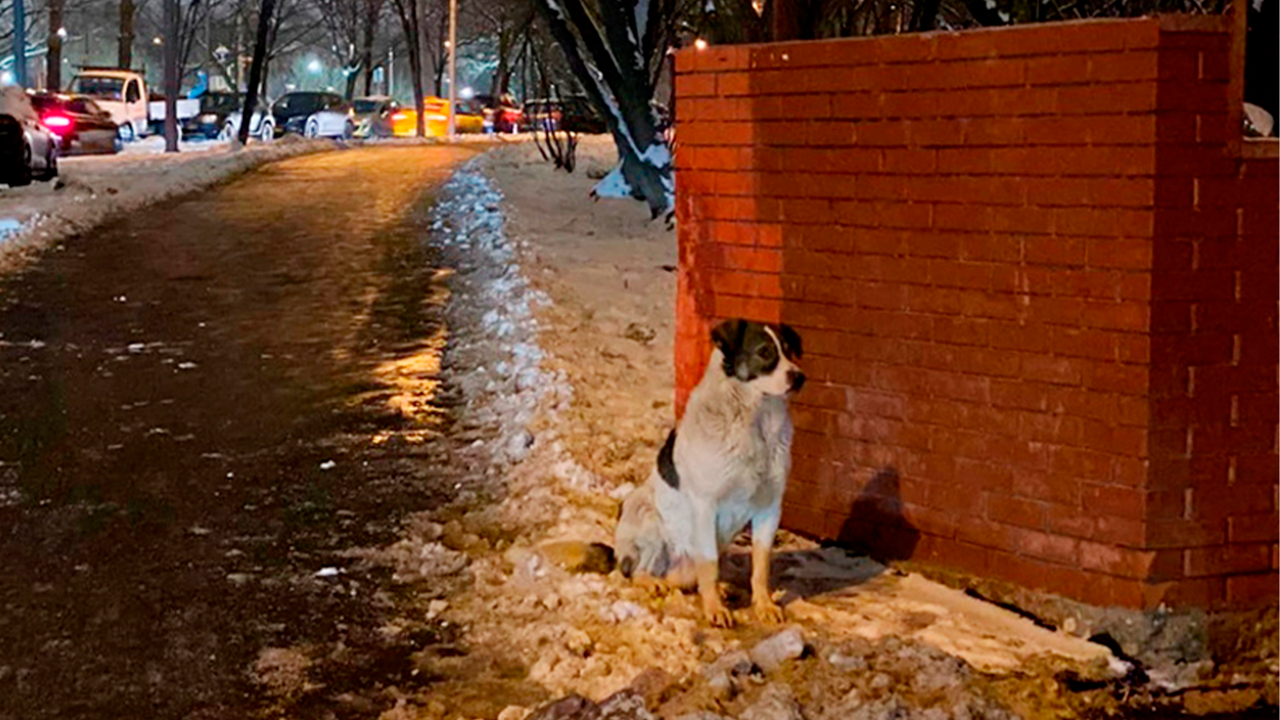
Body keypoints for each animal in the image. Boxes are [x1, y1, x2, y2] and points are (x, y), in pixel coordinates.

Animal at [614, 316, 803, 625]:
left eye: (789, 350)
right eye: (764, 352)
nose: (799, 377)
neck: (757, 421)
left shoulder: (770, 507)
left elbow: (761, 566)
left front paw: (763, 605)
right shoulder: (705, 505)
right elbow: (710, 563)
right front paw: (714, 609)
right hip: (645, 512)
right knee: (637, 571)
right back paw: (653, 582)